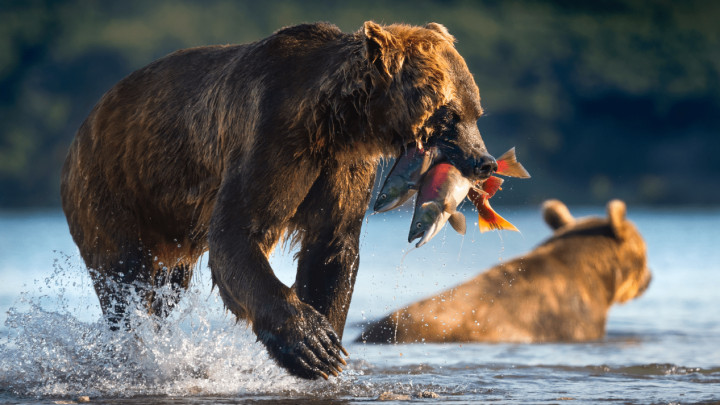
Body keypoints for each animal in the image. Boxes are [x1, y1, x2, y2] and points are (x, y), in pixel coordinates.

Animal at [59, 20, 500, 378]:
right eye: (449, 114)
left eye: (475, 111)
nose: (484, 162)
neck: (339, 121)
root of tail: (81, 130)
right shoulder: (275, 138)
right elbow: (239, 232)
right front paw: (312, 347)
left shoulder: (344, 167)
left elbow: (332, 247)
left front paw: (329, 340)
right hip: (116, 192)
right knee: (128, 281)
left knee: (166, 285)